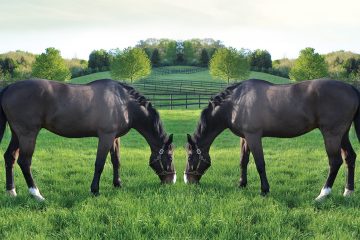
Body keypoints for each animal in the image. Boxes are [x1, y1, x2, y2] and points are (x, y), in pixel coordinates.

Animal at [0, 79, 175, 201]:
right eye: (170, 157)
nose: (172, 180)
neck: (123, 103)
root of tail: (9, 88)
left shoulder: (114, 138)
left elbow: (116, 161)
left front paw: (118, 184)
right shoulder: (106, 136)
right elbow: (99, 164)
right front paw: (95, 190)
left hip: (17, 134)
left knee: (10, 157)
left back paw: (11, 191)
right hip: (28, 134)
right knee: (24, 162)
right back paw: (36, 194)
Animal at [184, 79, 360, 201]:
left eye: (190, 157)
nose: (187, 180)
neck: (235, 103)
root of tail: (351, 88)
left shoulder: (254, 136)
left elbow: (260, 164)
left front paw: (264, 190)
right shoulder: (245, 138)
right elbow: (243, 161)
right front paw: (241, 184)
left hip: (331, 134)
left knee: (335, 162)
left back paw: (323, 194)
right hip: (342, 134)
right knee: (349, 157)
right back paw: (348, 191)